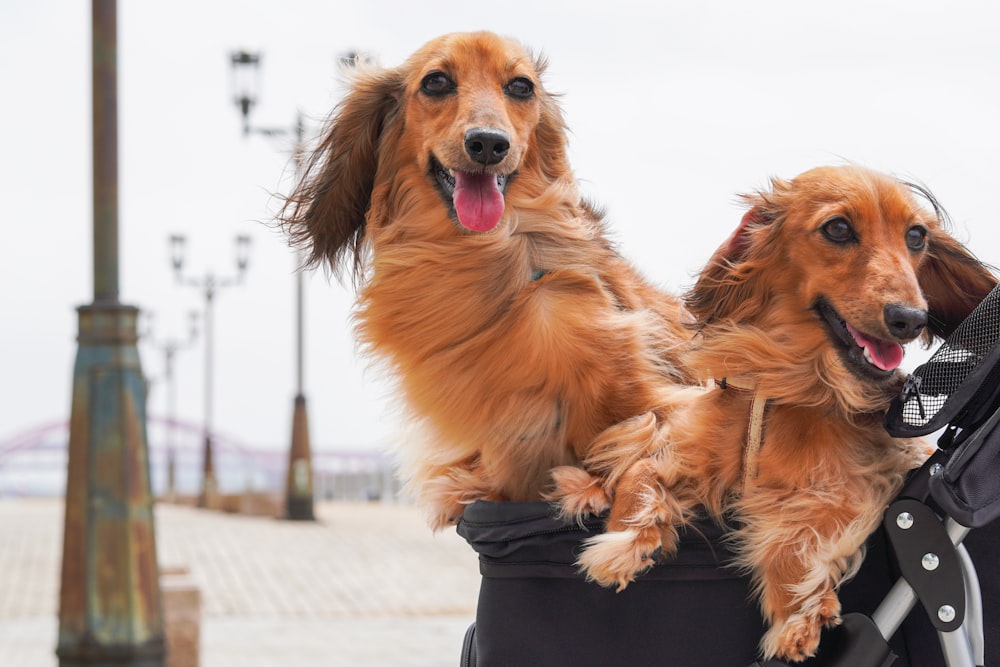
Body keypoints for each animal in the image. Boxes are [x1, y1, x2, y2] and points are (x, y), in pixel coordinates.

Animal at [278, 32, 692, 532]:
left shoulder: (654, 394)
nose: (489, 144)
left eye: (521, 86)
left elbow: (645, 450)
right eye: (436, 81)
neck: (475, 256)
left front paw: (612, 511)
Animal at [552, 166, 996, 664]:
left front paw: (796, 614)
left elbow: (796, 536)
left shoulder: (864, 484)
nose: (911, 319)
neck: (793, 383)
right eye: (838, 228)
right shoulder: (687, 441)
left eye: (916, 236)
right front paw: (626, 541)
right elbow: (641, 468)